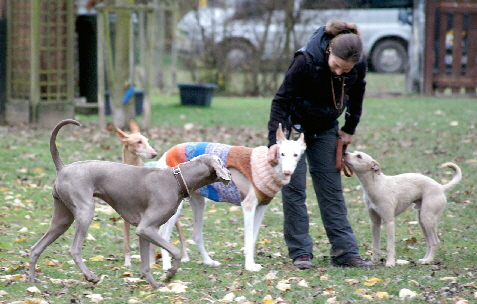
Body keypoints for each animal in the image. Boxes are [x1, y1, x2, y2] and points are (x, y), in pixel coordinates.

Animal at [156, 124, 304, 272]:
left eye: (296, 155)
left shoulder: (261, 207)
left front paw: (252, 263)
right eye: (282, 154)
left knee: (196, 235)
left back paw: (208, 261)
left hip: (199, 203)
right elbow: (248, 239)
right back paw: (167, 265)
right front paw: (249, 266)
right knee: (163, 236)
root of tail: (165, 154)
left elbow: (253, 238)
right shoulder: (248, 206)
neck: (268, 166)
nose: (287, 172)